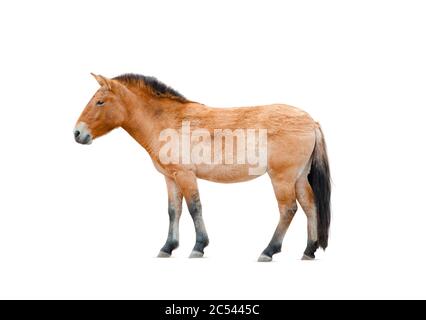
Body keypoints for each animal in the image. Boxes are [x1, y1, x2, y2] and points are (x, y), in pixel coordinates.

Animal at [75, 74, 332, 262]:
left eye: (100, 101)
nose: (77, 133)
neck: (167, 121)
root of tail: (311, 121)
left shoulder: (186, 175)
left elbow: (194, 208)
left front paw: (198, 246)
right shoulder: (171, 178)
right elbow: (173, 211)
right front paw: (168, 247)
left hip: (282, 177)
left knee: (288, 209)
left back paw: (269, 250)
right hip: (299, 177)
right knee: (310, 206)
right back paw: (309, 251)